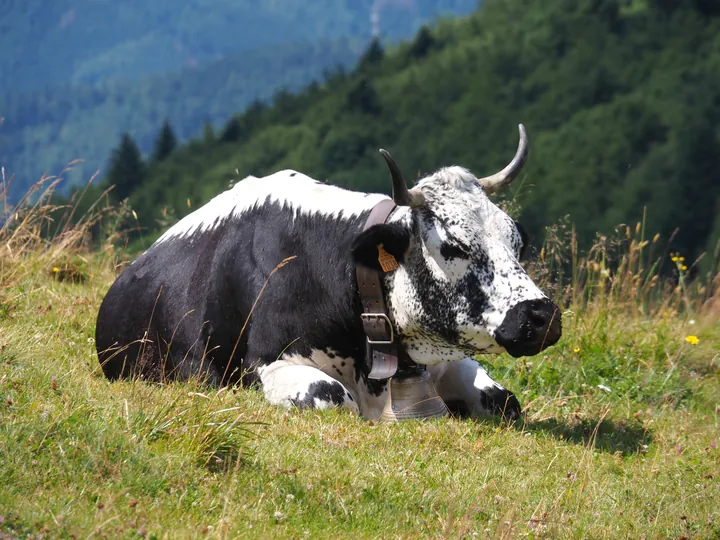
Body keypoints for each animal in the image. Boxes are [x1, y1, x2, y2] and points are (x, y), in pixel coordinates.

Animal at [93, 126, 560, 422]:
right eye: (454, 246)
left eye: (517, 241)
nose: (541, 315)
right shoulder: (260, 365)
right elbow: (331, 396)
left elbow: (504, 400)